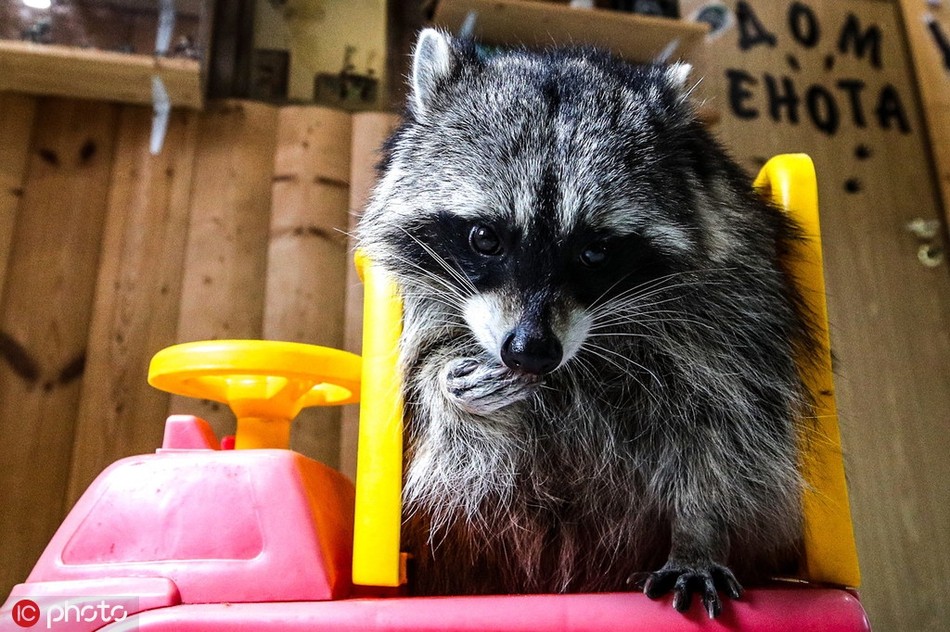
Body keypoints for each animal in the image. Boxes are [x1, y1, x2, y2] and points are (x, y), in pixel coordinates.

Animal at [356, 29, 820, 616]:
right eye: (485, 238)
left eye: (595, 251)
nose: (529, 351)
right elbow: (432, 408)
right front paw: (452, 388)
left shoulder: (734, 310)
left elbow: (728, 434)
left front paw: (698, 531)